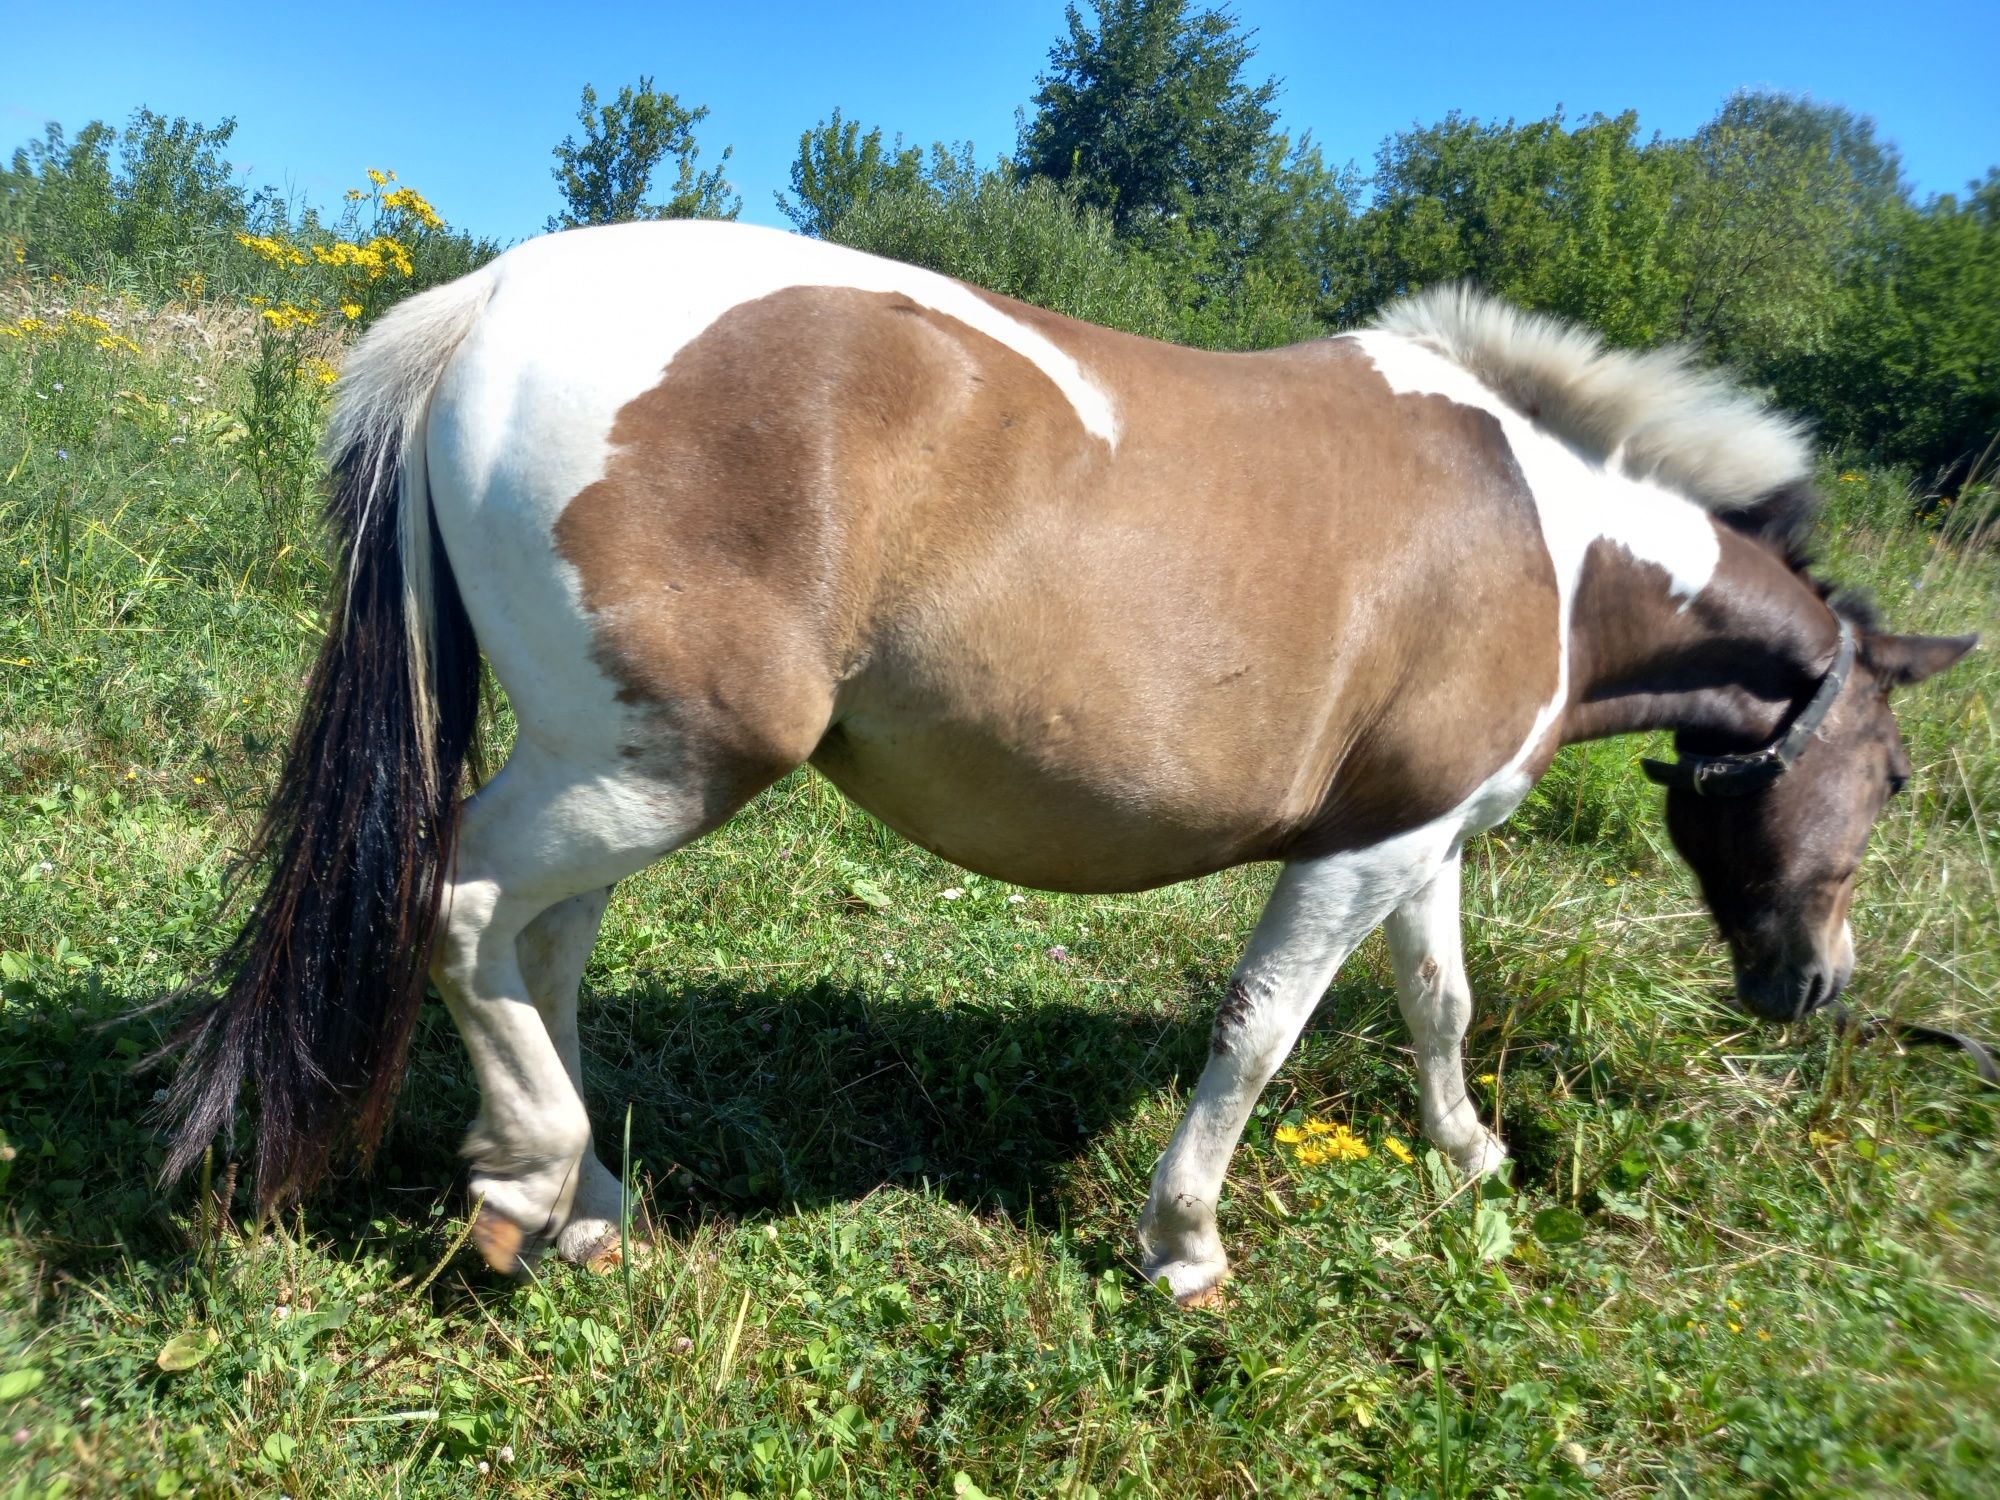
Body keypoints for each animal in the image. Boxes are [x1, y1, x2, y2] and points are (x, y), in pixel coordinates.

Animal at [164, 220, 1976, 1304]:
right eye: (1889, 780)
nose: (1815, 986)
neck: (1549, 529)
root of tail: (492, 297)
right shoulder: (1360, 853)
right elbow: (1256, 1035)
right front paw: (1187, 1247)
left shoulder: (1427, 835)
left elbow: (1441, 1005)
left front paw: (1469, 1162)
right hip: (656, 770)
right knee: (463, 905)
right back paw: (532, 1169)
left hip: (608, 767)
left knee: (543, 951)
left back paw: (586, 1200)